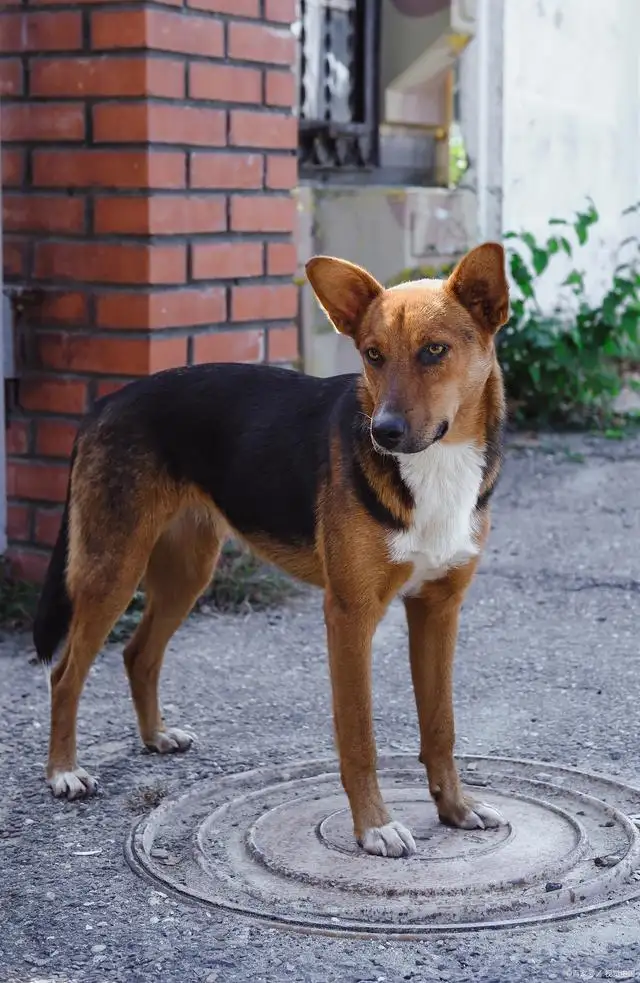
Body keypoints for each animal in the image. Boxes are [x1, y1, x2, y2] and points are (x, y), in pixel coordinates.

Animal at [35, 242, 508, 856]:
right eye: (373, 355)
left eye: (435, 351)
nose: (383, 433)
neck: (436, 467)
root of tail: (107, 401)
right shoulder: (350, 615)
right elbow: (359, 736)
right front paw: (373, 826)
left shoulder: (439, 609)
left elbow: (441, 726)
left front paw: (454, 808)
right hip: (112, 568)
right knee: (65, 672)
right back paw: (64, 772)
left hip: (188, 570)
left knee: (138, 653)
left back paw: (155, 736)